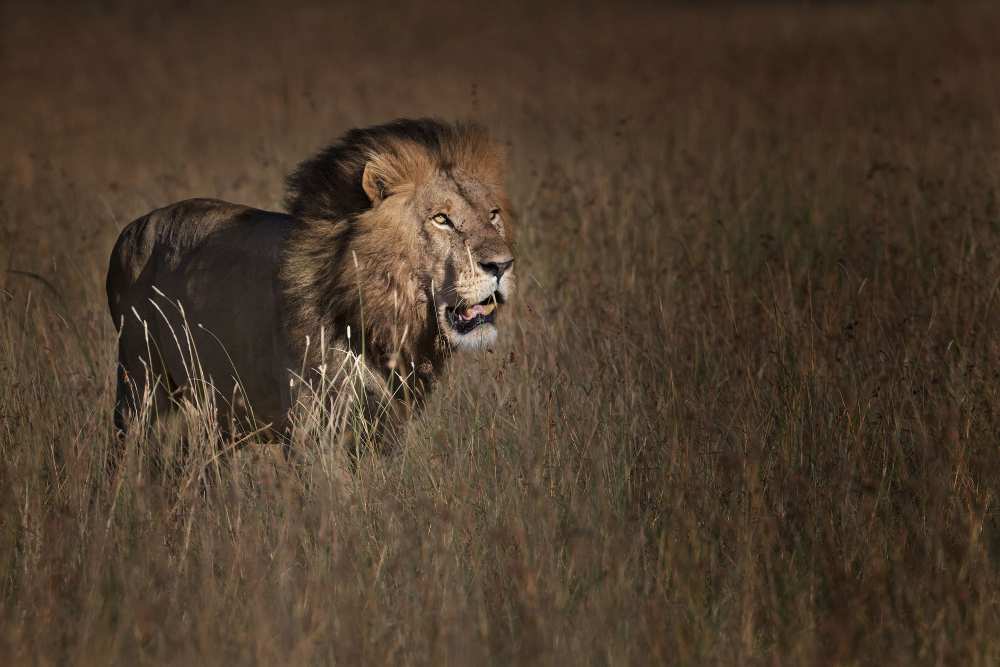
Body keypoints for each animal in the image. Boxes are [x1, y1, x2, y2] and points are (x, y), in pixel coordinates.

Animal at [106, 118, 514, 451]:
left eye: (493, 215)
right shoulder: (312, 430)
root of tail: (131, 229)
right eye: (441, 219)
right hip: (140, 384)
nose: (502, 265)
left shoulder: (385, 427)